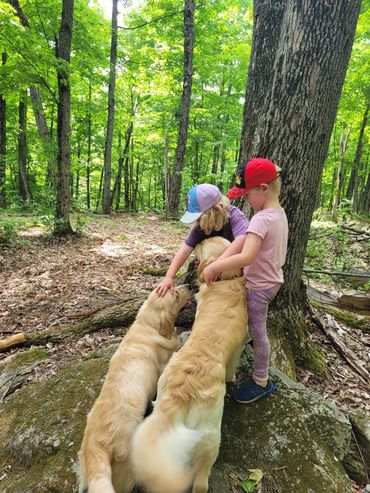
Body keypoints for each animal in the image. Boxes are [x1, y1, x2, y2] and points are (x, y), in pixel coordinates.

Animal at [132, 236, 247, 490]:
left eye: (205, 245)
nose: (198, 240)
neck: (226, 280)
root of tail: (182, 390)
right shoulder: (237, 348)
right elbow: (233, 366)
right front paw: (233, 376)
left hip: (161, 396)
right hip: (212, 436)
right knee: (201, 480)